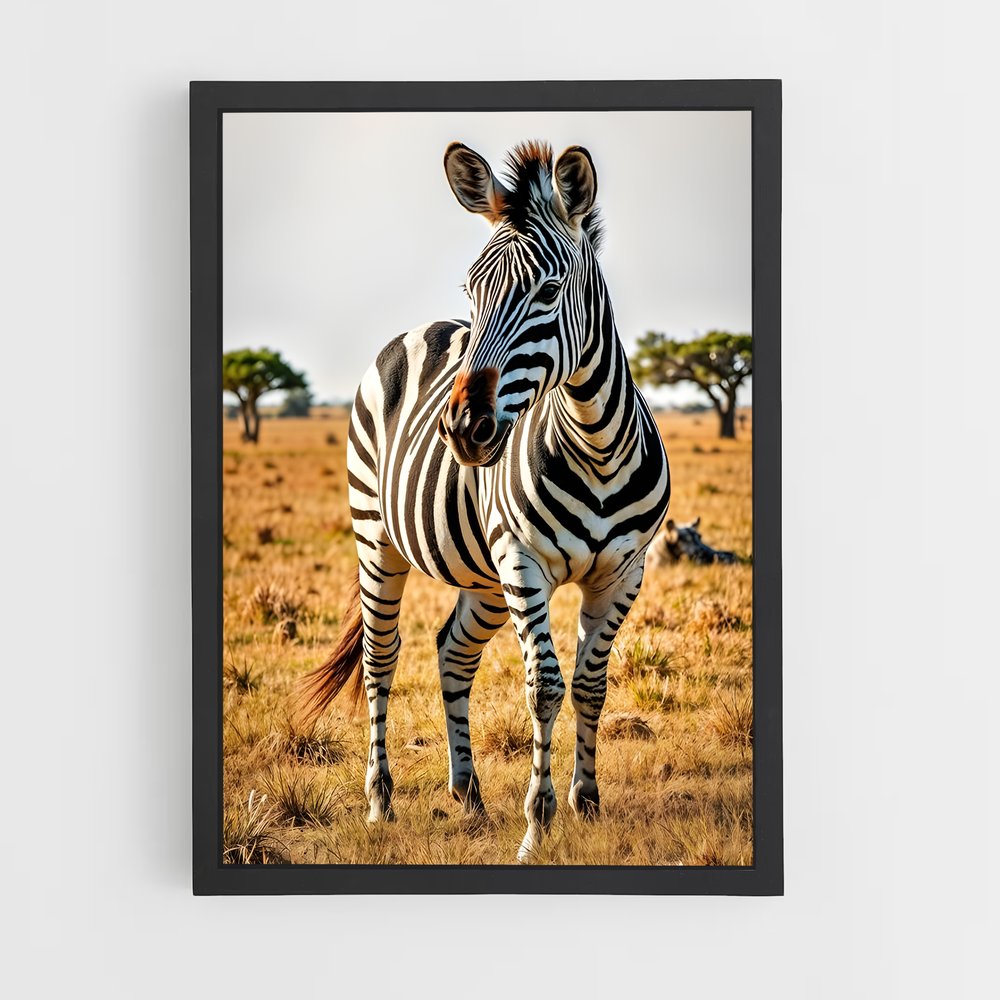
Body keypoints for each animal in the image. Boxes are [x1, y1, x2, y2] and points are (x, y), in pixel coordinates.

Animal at [300, 140, 671, 862]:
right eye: (473, 291)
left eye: (549, 291)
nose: (462, 429)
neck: (597, 444)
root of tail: (415, 329)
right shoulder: (525, 561)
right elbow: (545, 685)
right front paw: (538, 823)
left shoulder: (624, 572)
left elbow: (590, 683)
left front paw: (586, 804)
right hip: (378, 539)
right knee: (381, 659)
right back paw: (380, 801)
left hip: (484, 577)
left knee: (453, 651)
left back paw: (468, 795)